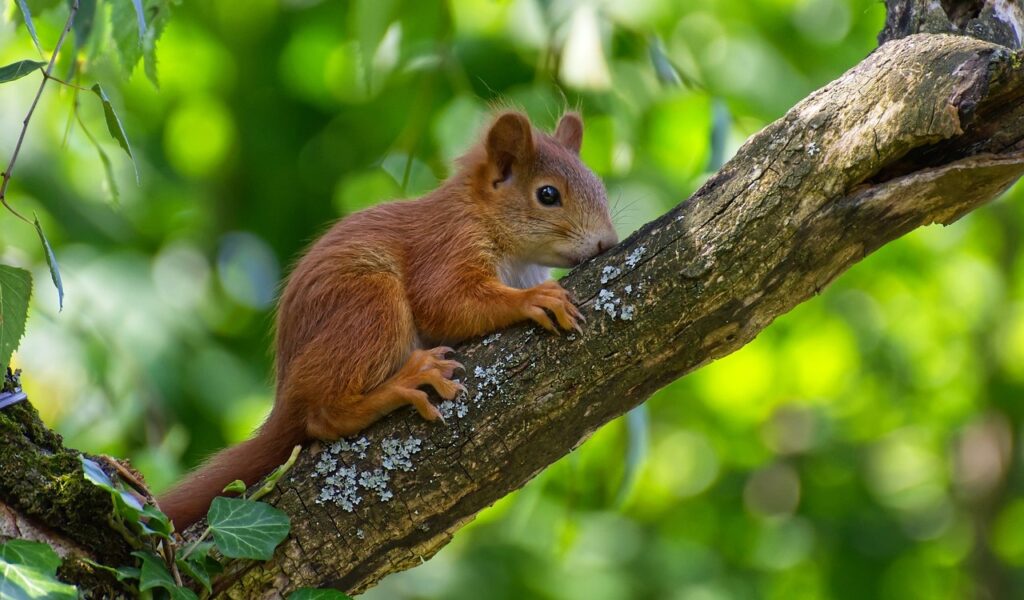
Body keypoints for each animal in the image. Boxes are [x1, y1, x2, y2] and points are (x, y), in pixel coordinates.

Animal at [157, 110, 619, 529]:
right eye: (547, 195)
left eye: (599, 185)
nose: (607, 242)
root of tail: (284, 394)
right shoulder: (448, 244)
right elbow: (446, 302)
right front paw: (533, 299)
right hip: (371, 306)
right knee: (322, 415)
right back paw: (404, 383)